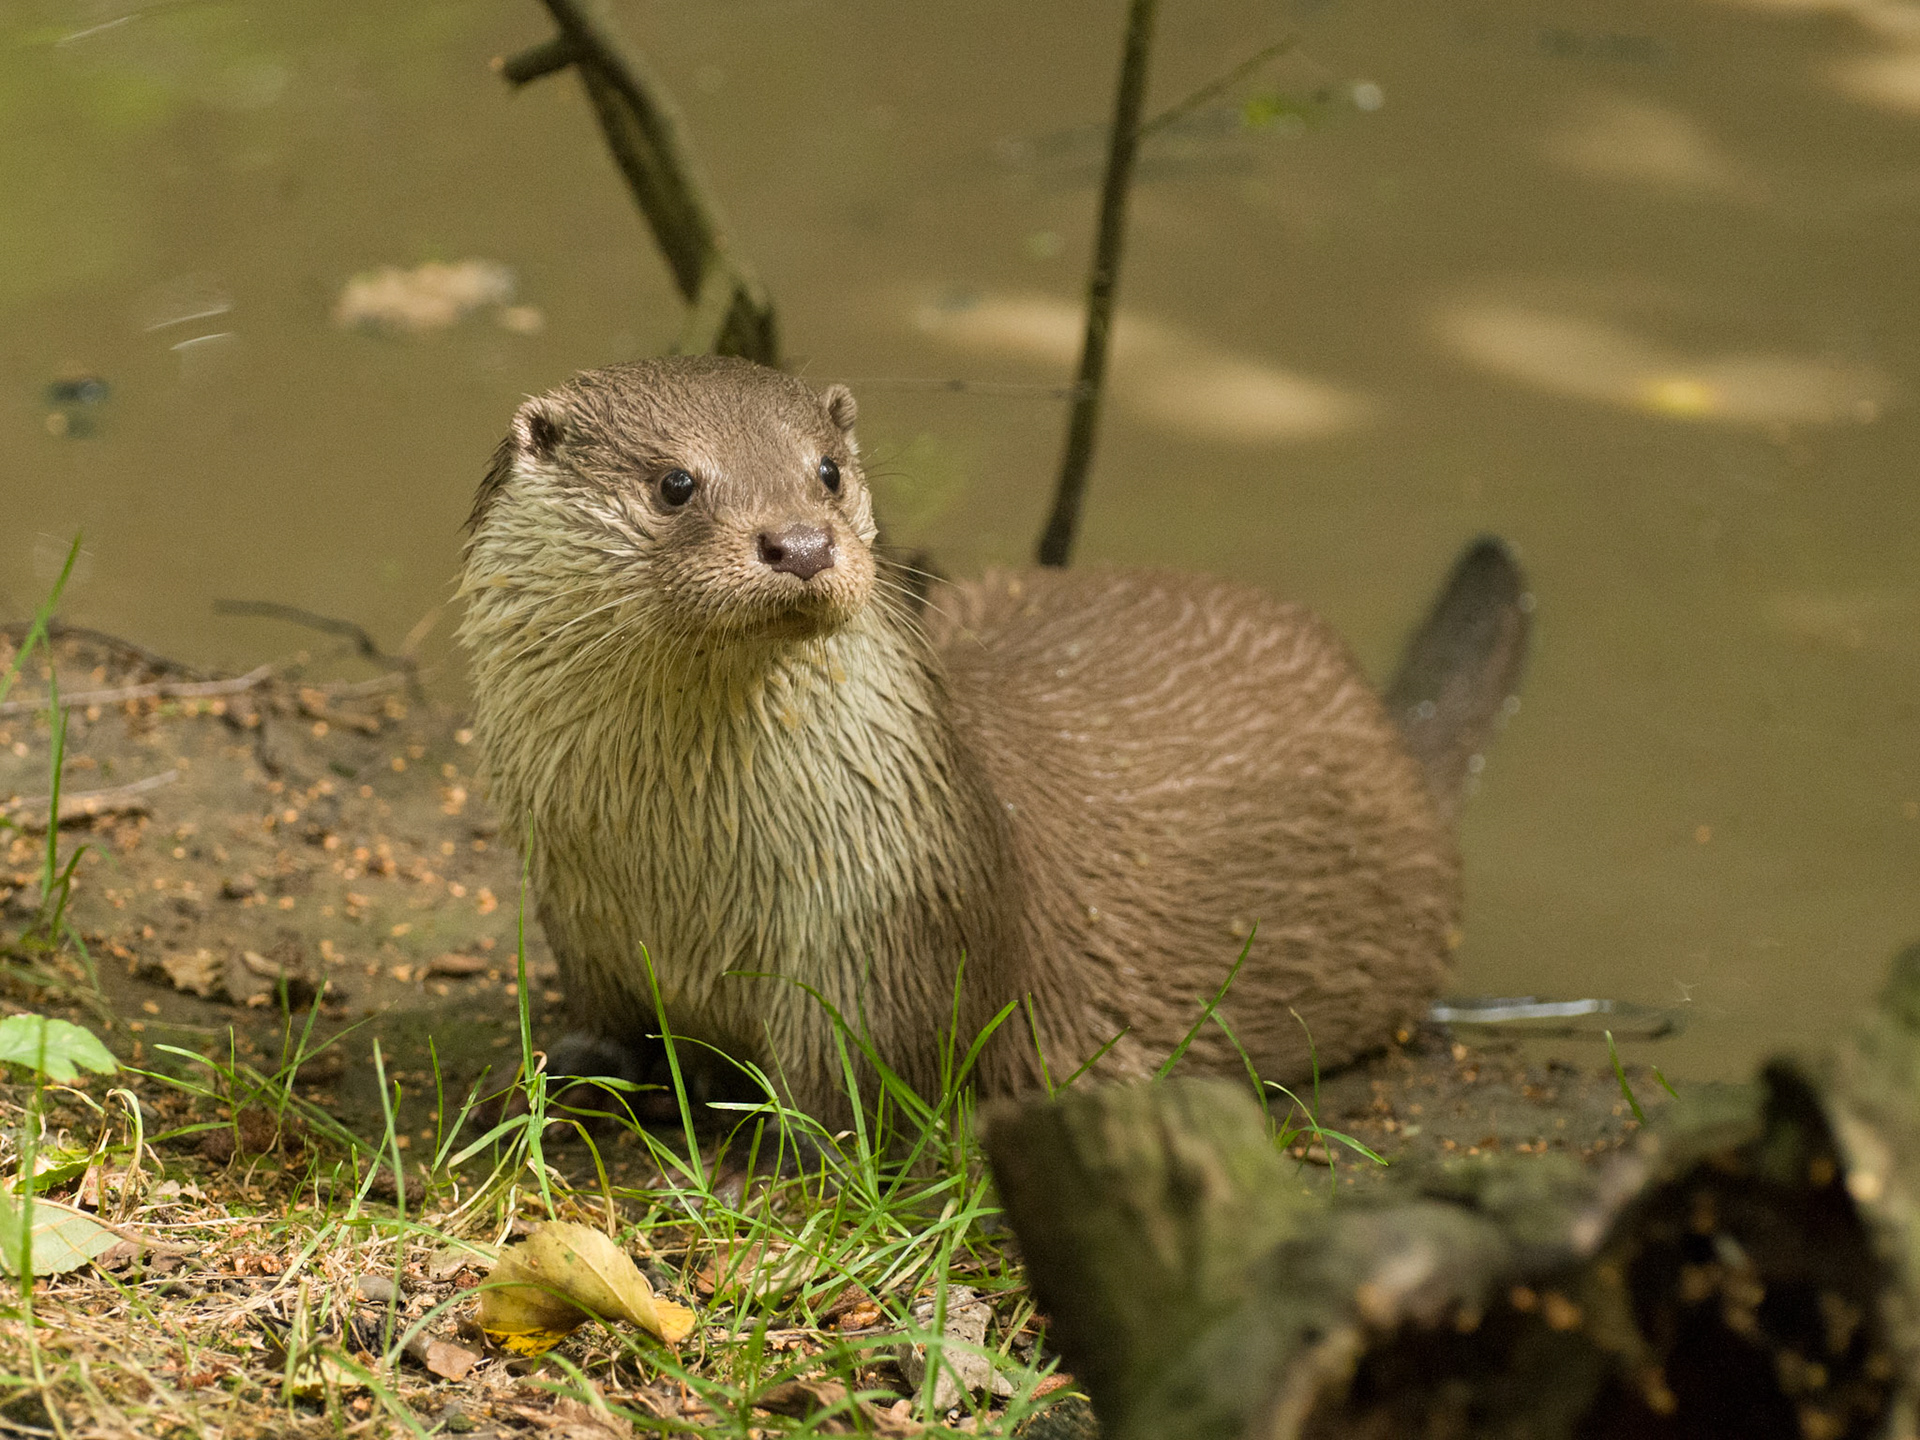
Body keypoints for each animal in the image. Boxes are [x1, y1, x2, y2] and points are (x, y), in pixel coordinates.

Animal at [457, 355, 1528, 1127]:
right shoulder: (581, 913)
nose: (801, 543)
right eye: (676, 482)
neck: (679, 882)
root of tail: (1392, 741)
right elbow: (609, 1020)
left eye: (827, 472)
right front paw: (571, 1072)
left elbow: (855, 1093)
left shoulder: (889, 927)